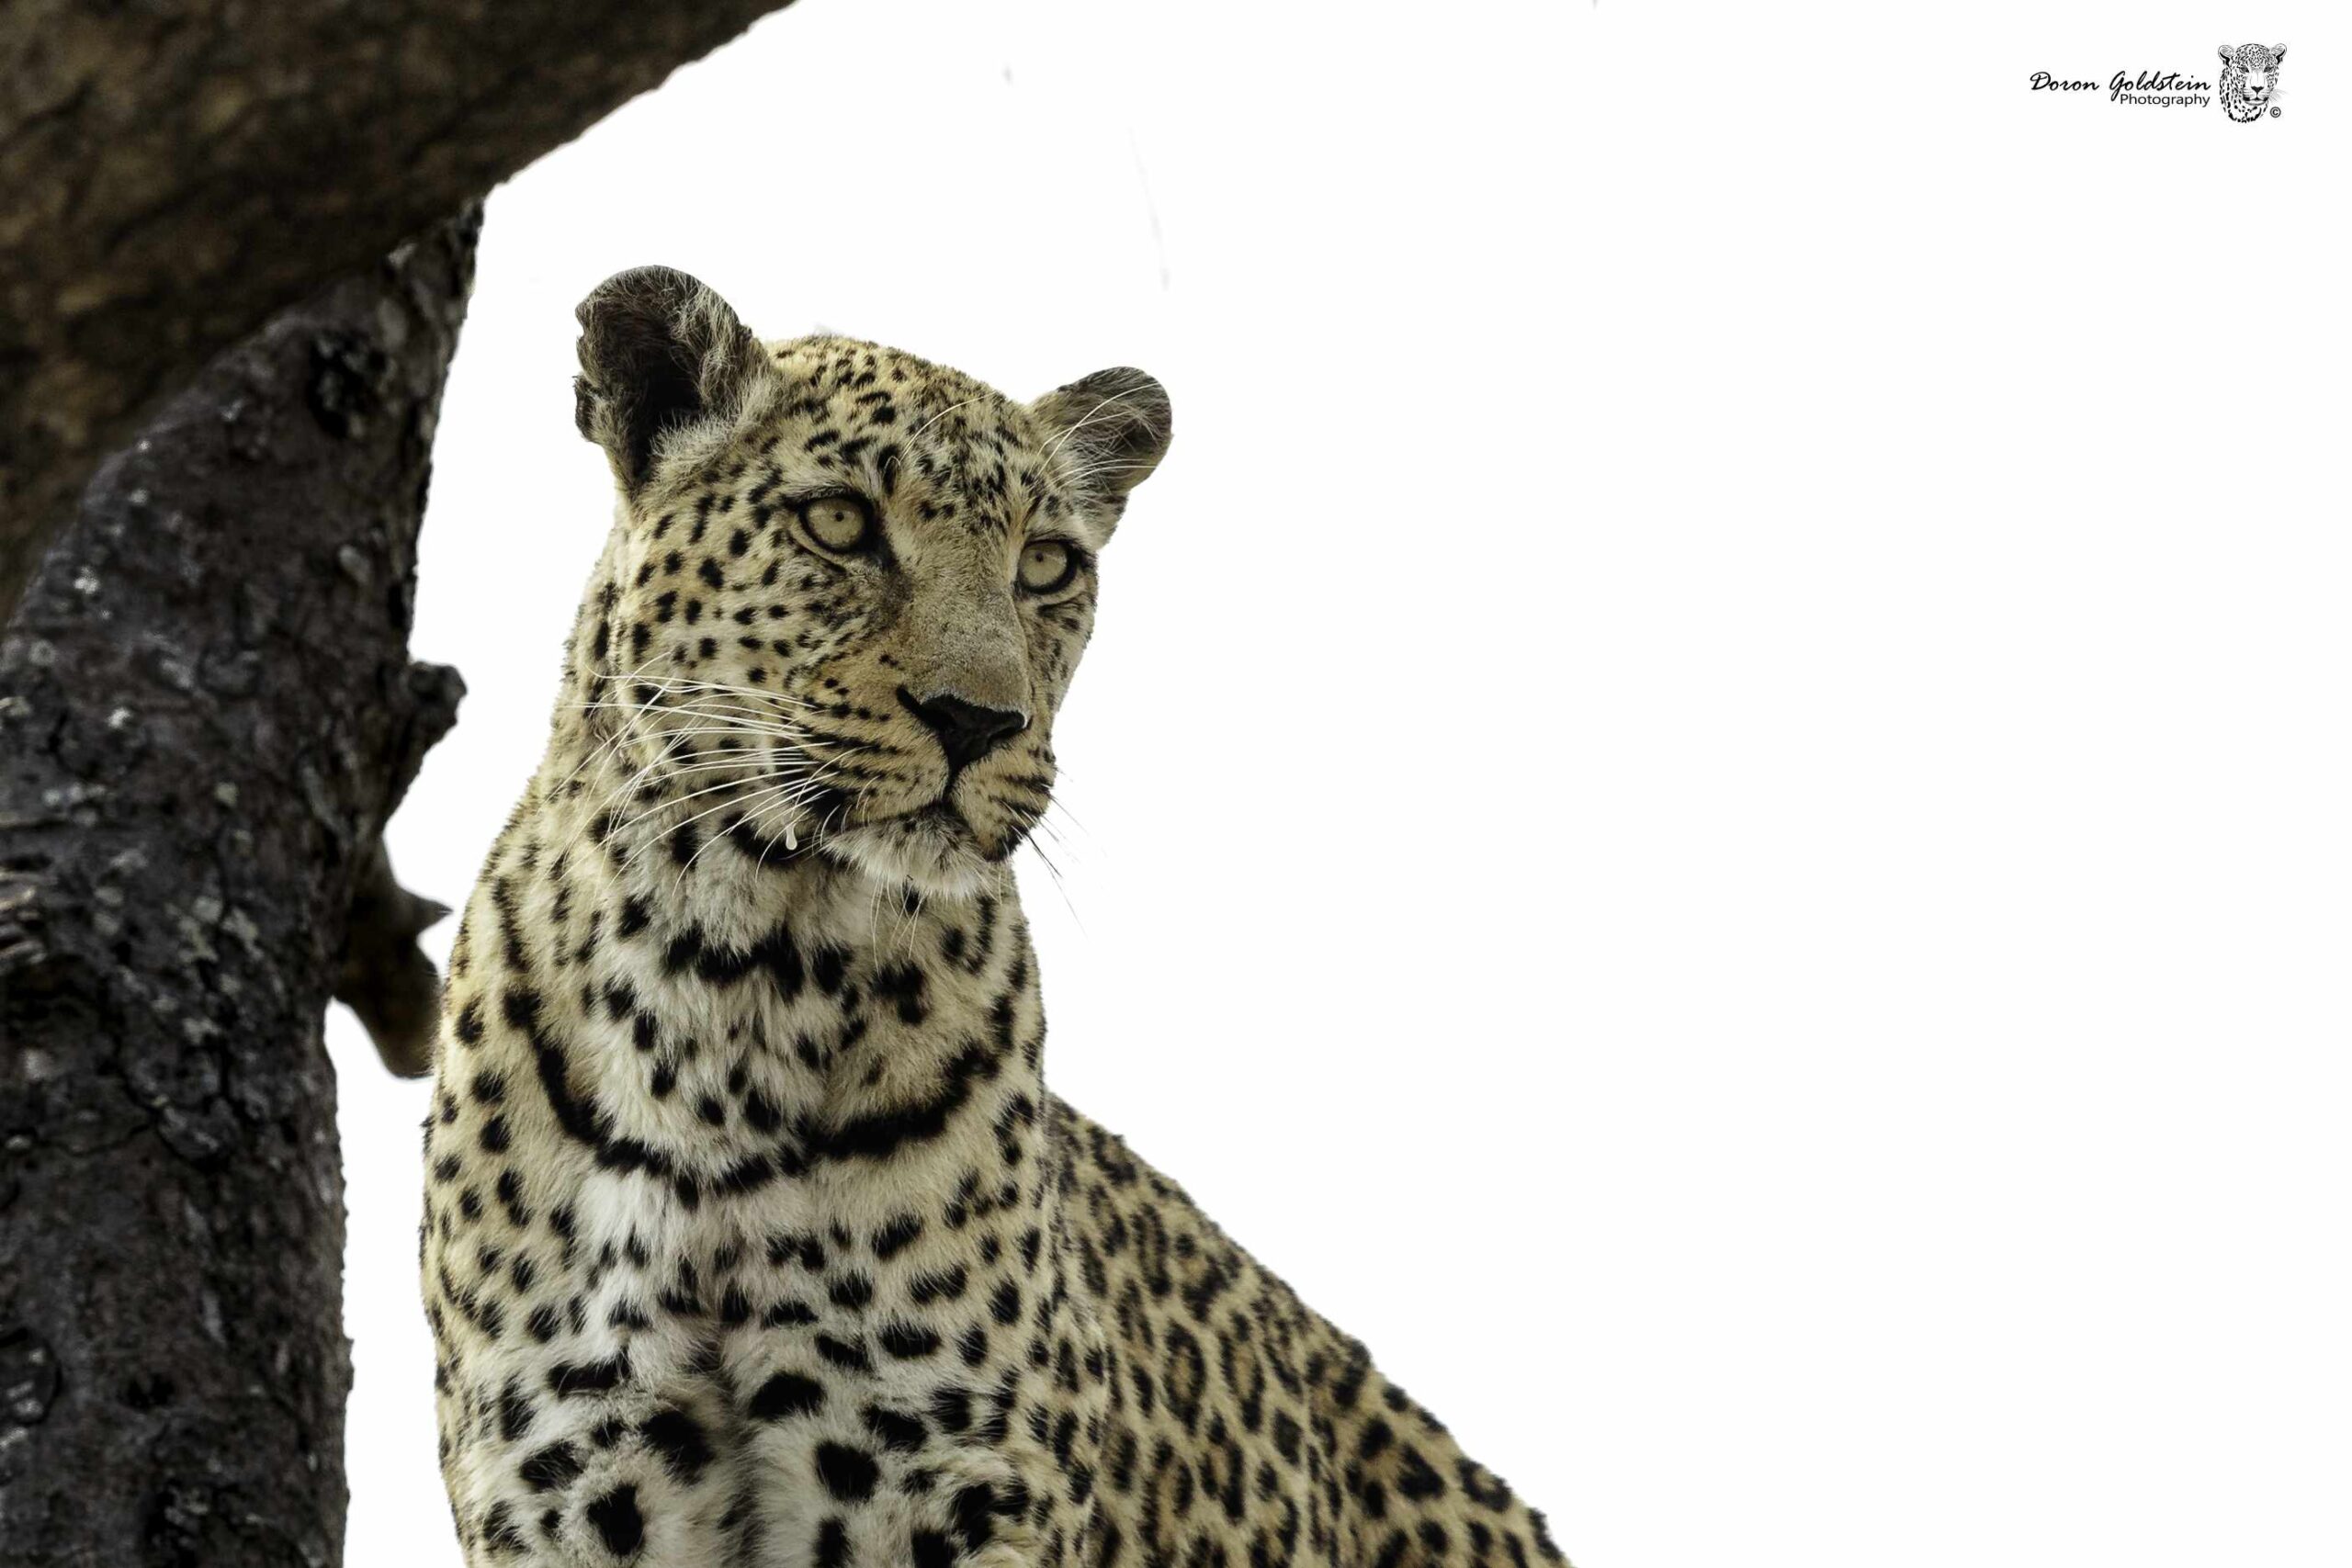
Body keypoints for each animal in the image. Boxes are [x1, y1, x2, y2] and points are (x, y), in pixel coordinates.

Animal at [419, 265, 1568, 1568]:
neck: (740, 982)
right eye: (839, 524)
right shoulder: (575, 1482)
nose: (978, 721)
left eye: (1047, 564)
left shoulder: (955, 1483)